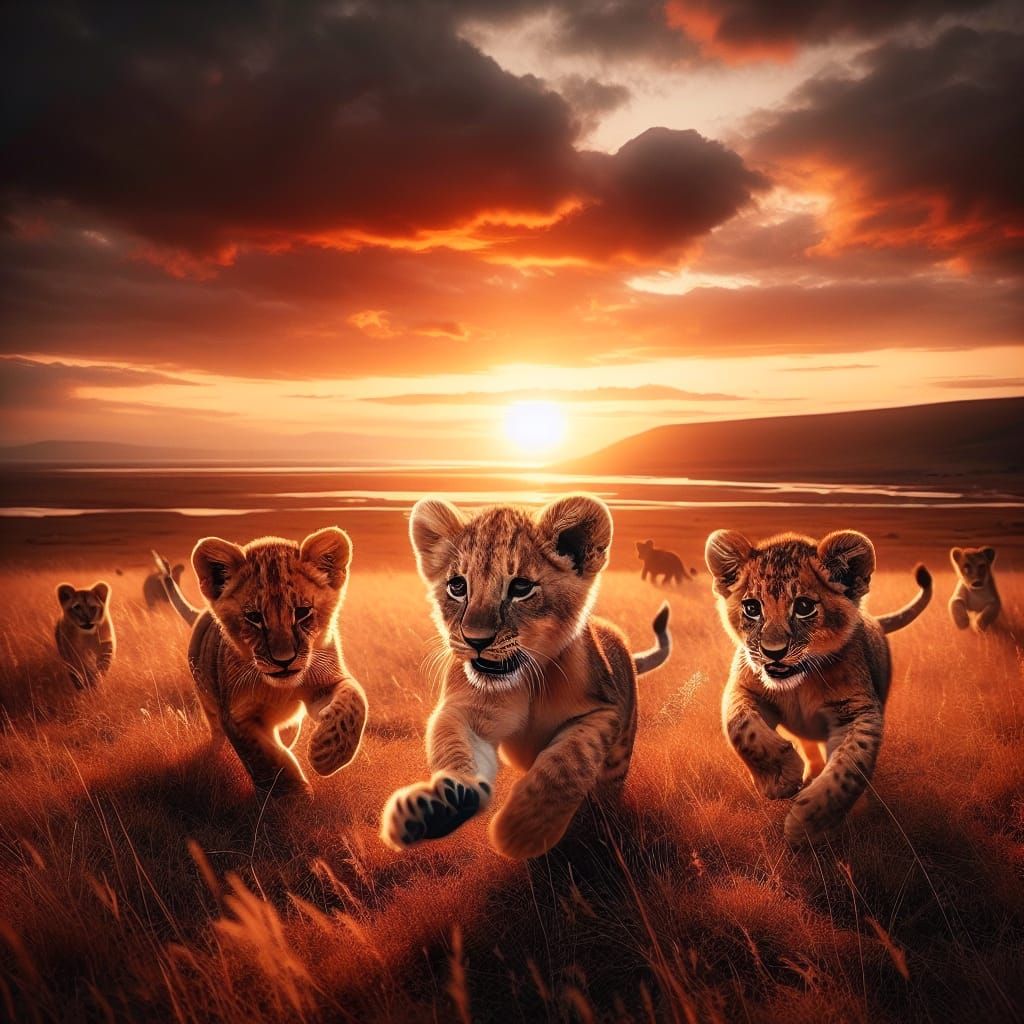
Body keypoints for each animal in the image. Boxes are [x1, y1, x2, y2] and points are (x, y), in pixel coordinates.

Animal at [155, 530, 367, 796]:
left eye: (302, 612)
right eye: (254, 617)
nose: (284, 660)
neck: (279, 689)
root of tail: (201, 614)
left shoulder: (327, 680)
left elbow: (355, 700)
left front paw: (326, 755)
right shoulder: (236, 716)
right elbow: (266, 759)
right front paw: (292, 799)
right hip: (209, 704)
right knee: (218, 737)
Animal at [380, 494, 672, 859]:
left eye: (521, 587)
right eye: (457, 586)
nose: (476, 640)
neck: (528, 682)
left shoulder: (603, 711)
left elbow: (566, 762)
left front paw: (521, 831)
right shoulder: (465, 711)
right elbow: (455, 751)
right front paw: (433, 811)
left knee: (607, 788)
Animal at [705, 528, 932, 846]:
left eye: (803, 607)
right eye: (752, 608)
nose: (773, 652)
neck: (801, 683)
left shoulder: (859, 711)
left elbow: (849, 767)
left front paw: (809, 826)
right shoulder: (743, 687)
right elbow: (742, 727)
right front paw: (781, 779)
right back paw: (808, 772)